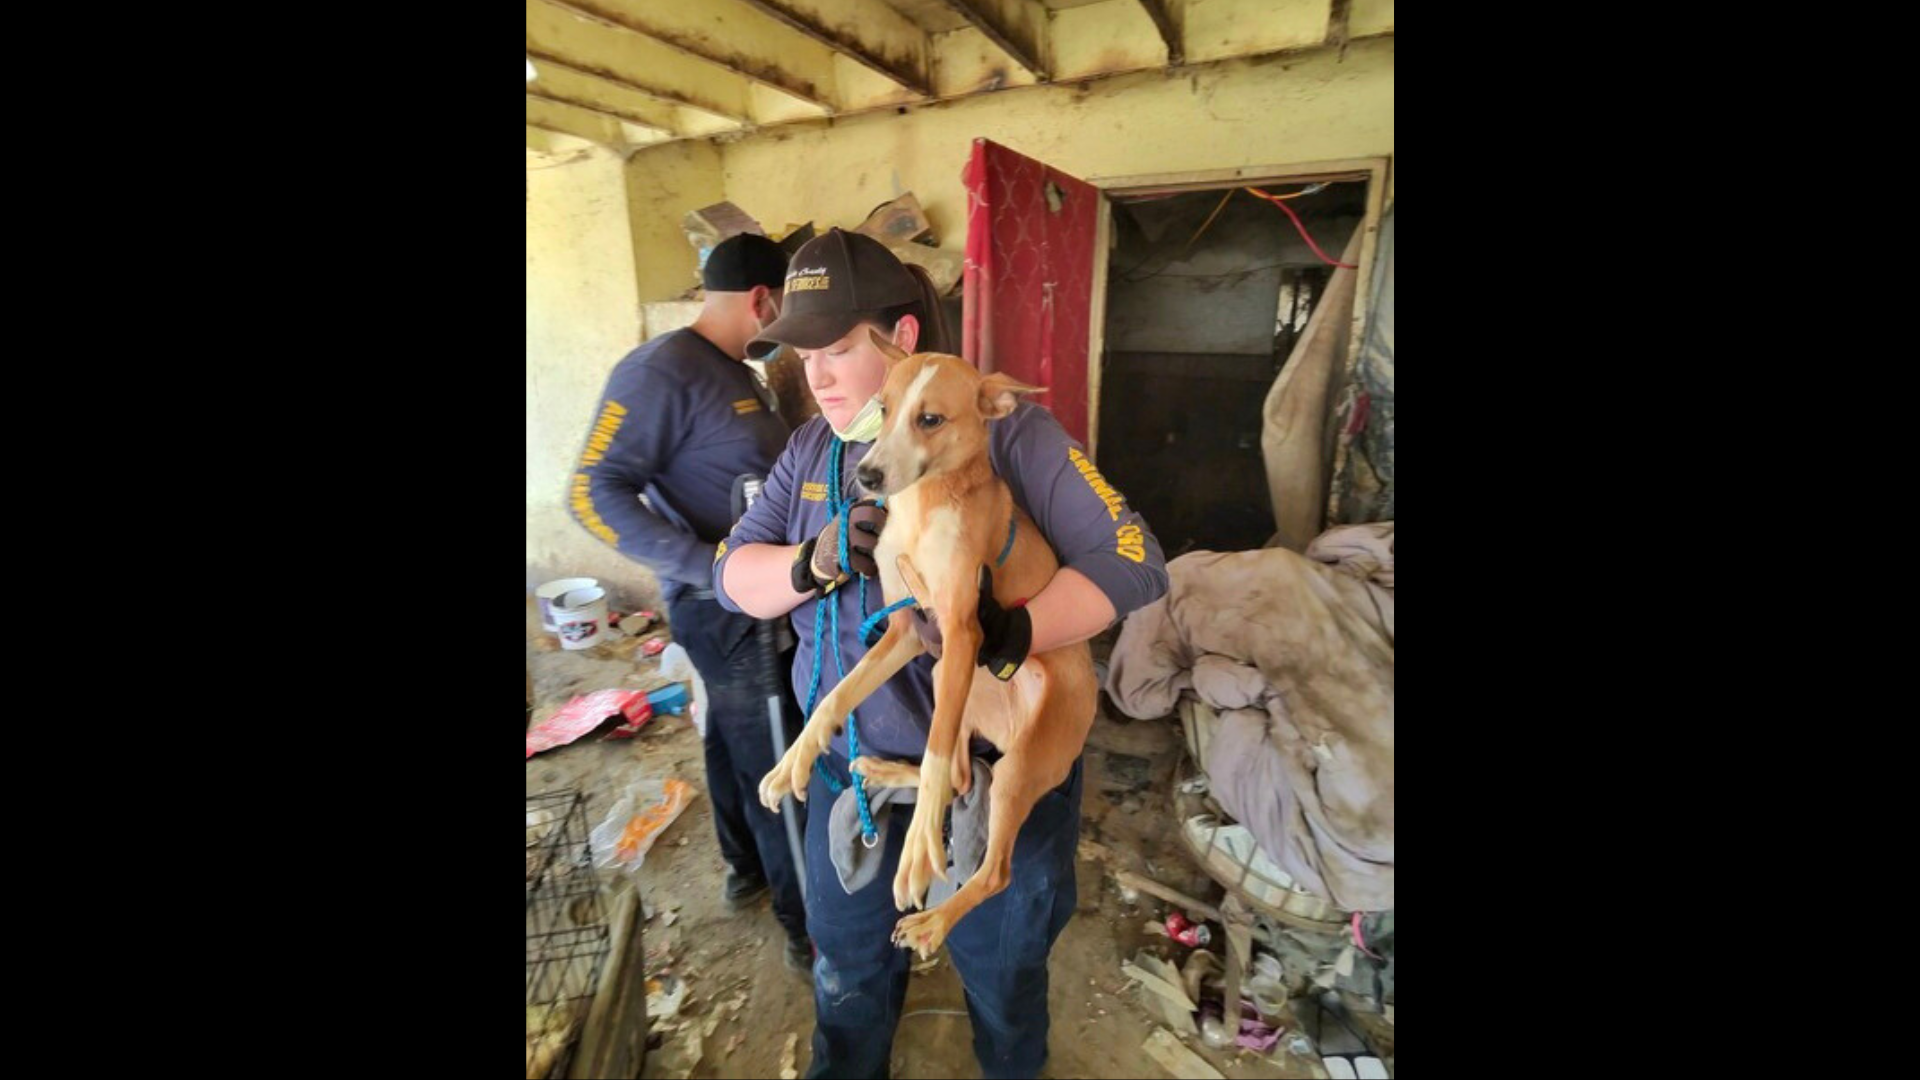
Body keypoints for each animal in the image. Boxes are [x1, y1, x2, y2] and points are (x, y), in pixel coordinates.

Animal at [760, 334, 1098, 949]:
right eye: (884, 408)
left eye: (931, 419)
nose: (867, 477)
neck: (924, 506)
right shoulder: (910, 632)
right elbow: (837, 695)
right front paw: (795, 757)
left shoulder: (965, 631)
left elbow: (937, 746)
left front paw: (918, 850)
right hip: (949, 679)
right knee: (963, 777)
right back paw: (889, 773)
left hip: (1019, 760)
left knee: (995, 865)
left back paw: (933, 923)